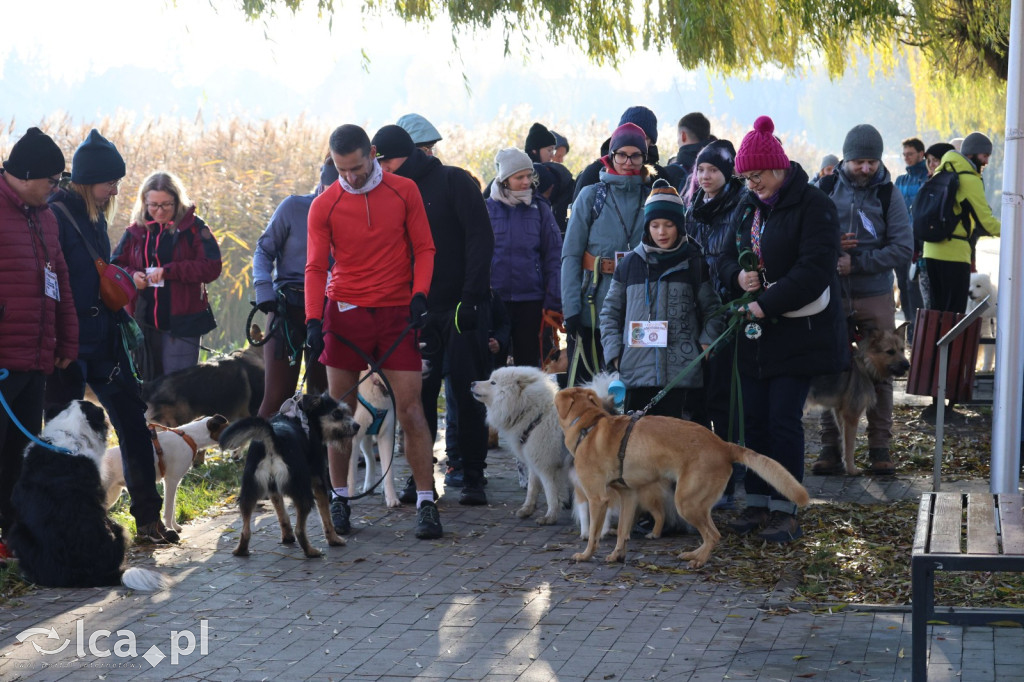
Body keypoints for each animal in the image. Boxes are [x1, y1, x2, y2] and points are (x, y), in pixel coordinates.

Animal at [100, 409, 228, 532]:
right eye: (227, 427)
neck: (189, 437)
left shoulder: (174, 482)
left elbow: (173, 507)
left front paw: (175, 527)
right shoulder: (171, 480)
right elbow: (169, 510)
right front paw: (170, 528)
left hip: (113, 494)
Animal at [218, 391, 358, 557]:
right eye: (337, 414)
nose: (357, 426)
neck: (303, 415)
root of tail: (273, 439)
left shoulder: (273, 488)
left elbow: (281, 513)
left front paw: (287, 536)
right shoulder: (318, 479)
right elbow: (326, 516)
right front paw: (334, 539)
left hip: (248, 492)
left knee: (245, 531)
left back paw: (241, 550)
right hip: (303, 492)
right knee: (300, 530)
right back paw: (311, 551)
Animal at [468, 366, 573, 520]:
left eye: (493, 382)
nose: (472, 383)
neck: (536, 416)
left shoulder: (547, 465)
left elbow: (551, 493)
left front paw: (550, 516)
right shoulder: (534, 460)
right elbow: (532, 488)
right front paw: (527, 509)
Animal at [552, 385, 806, 565]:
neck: (588, 424)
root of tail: (724, 445)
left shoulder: (598, 499)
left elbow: (594, 534)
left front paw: (585, 555)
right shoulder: (629, 496)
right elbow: (623, 531)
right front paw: (617, 555)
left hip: (686, 502)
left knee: (713, 535)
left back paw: (699, 561)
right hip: (695, 502)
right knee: (710, 533)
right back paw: (694, 554)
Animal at [811, 323, 909, 473]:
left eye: (902, 350)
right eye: (890, 352)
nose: (907, 365)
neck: (865, 364)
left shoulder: (840, 414)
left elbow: (844, 442)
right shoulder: (851, 415)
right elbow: (850, 445)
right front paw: (852, 470)